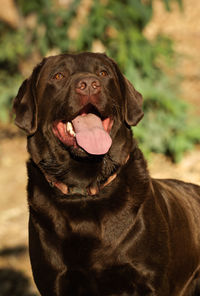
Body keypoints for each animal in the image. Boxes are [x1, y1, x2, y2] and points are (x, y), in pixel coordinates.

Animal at [13, 52, 200, 294]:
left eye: (103, 73)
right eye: (58, 75)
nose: (89, 84)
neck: (85, 188)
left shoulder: (150, 281)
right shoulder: (54, 282)